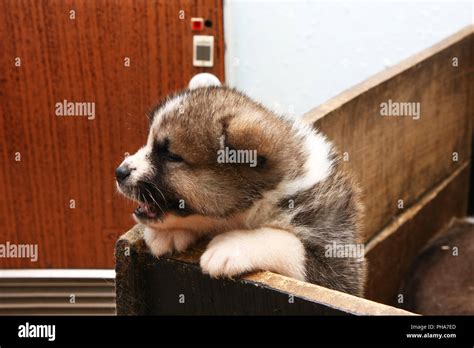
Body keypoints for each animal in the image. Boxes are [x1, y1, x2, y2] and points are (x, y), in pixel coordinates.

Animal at [115, 85, 366, 294]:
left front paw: (232, 246)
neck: (269, 198)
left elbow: (289, 243)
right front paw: (168, 233)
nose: (119, 172)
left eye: (171, 156)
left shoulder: (340, 267)